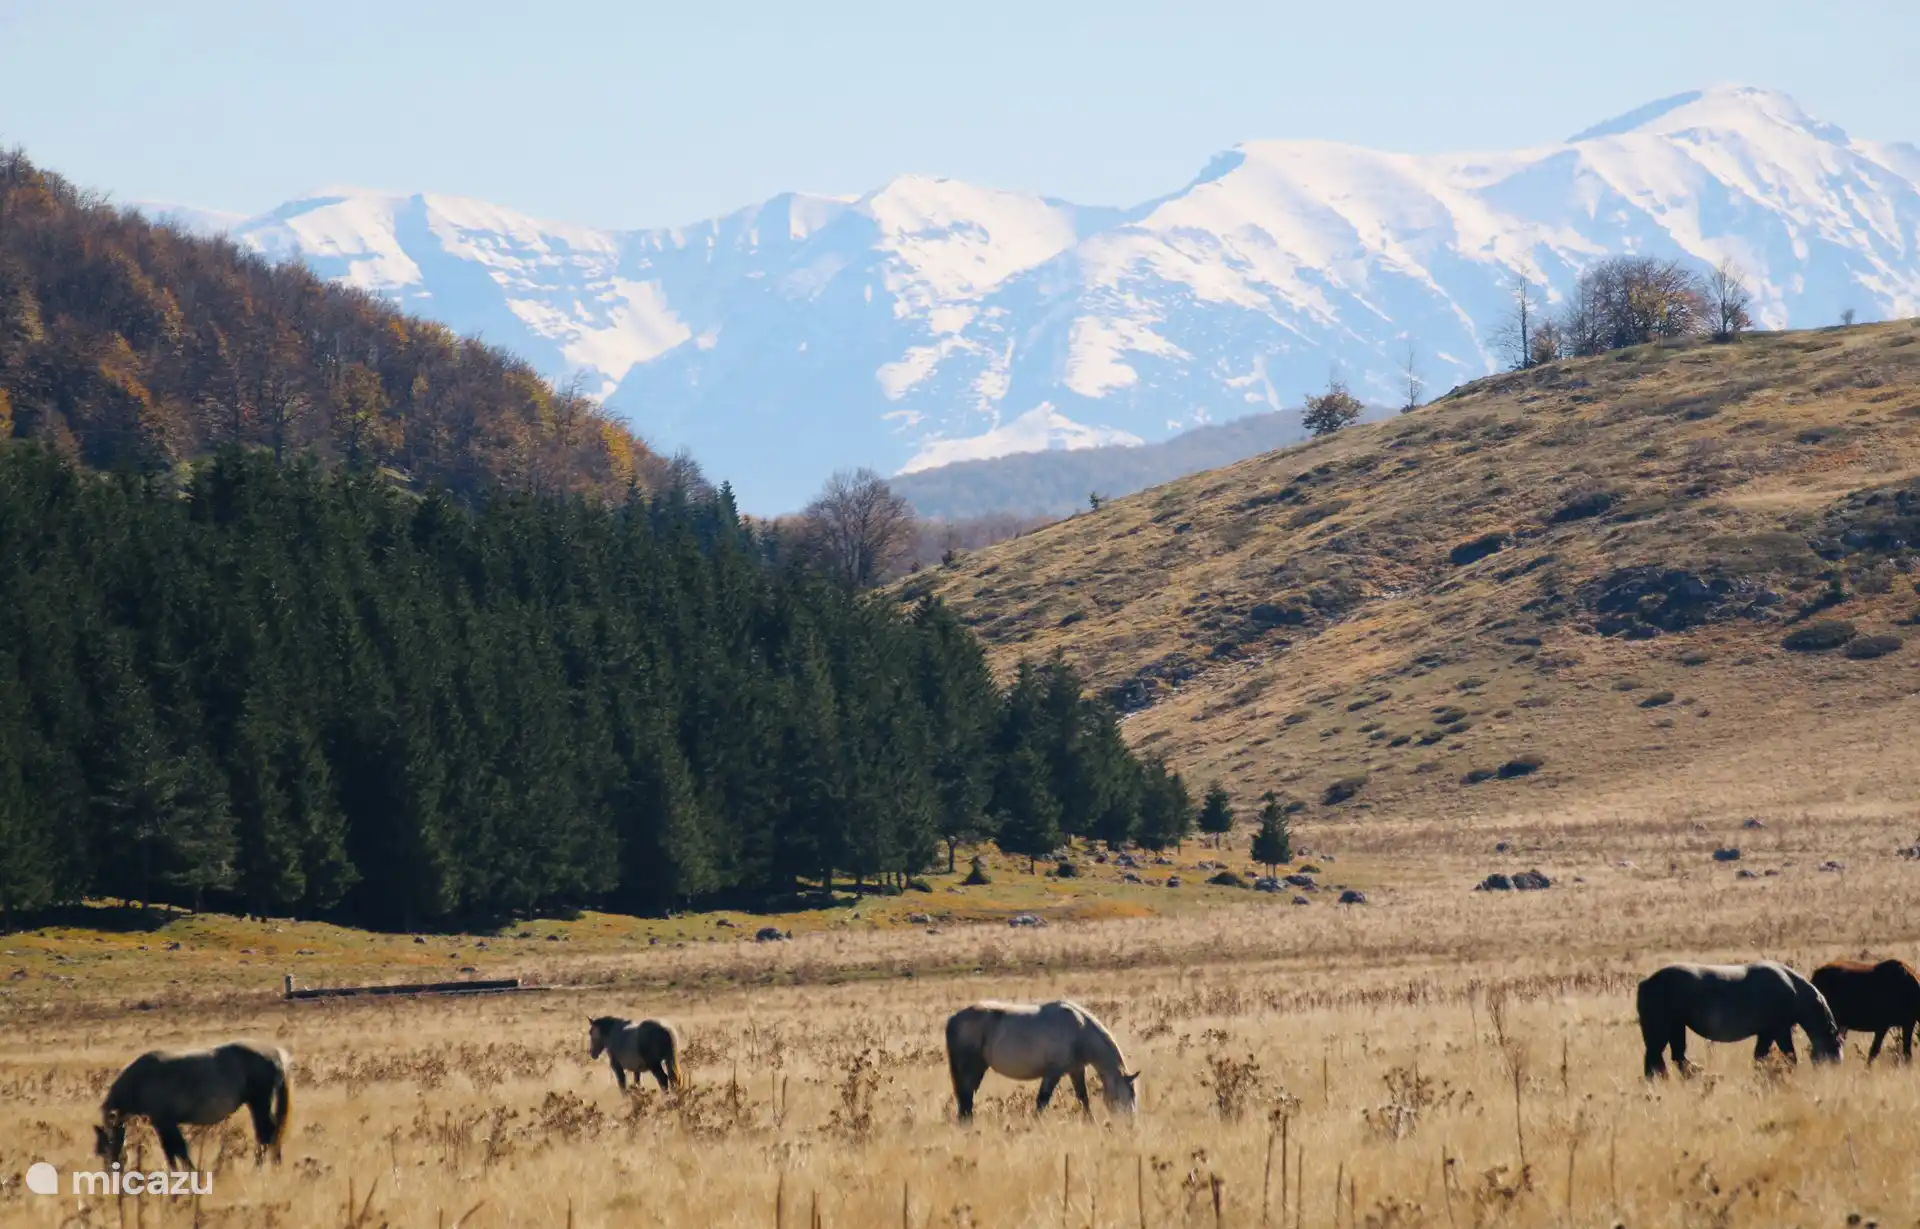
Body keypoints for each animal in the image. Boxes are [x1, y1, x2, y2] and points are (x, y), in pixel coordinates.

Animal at [94, 1041, 292, 1171]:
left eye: (105, 1148)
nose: (110, 1175)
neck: (141, 1079)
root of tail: (276, 1054)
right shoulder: (162, 1124)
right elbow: (172, 1150)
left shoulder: (164, 1122)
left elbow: (176, 1149)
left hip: (259, 1103)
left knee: (266, 1133)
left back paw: (260, 1167)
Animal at [944, 999, 1139, 1121]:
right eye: (1131, 1093)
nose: (1131, 1123)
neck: (1079, 1029)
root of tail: (953, 1020)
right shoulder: (1053, 1073)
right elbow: (1042, 1101)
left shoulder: (1076, 1070)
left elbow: (1083, 1097)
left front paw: (1090, 1120)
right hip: (972, 1069)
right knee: (966, 1097)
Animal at [1635, 961, 1842, 1079]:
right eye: (1837, 1042)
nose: (1837, 1066)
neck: (1795, 990)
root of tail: (1646, 982)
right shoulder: (1780, 1031)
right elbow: (1790, 1056)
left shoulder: (1766, 1033)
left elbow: (1760, 1056)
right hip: (1662, 1029)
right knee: (1656, 1059)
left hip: (1675, 1028)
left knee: (1672, 1058)